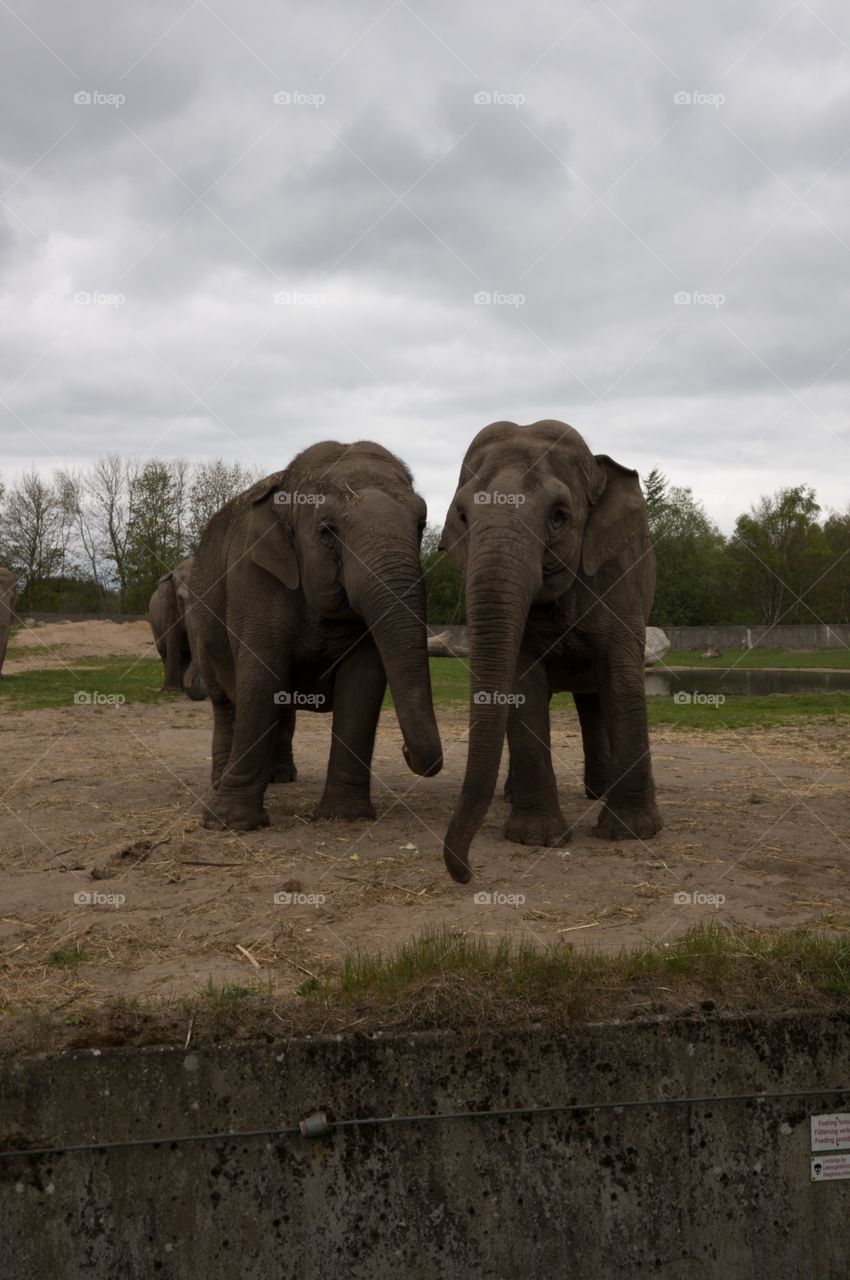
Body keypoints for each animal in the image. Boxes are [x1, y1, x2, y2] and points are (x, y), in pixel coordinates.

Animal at [149, 558, 206, 700]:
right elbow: (173, 638)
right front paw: (172, 691)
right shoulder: (168, 607)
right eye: (180, 597)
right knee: (164, 652)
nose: (194, 682)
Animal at [188, 440, 443, 831]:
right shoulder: (254, 579)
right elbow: (260, 677)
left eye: (421, 525)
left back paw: (279, 778)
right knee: (226, 703)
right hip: (204, 629)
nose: (405, 750)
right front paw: (229, 822)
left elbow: (363, 684)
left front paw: (344, 816)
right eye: (327, 530)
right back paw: (221, 780)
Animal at [439, 419, 663, 883]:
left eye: (559, 516)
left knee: (596, 698)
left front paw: (632, 833)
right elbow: (523, 689)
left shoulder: (621, 574)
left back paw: (599, 792)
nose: (466, 872)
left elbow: (623, 681)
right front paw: (536, 839)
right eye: (463, 517)